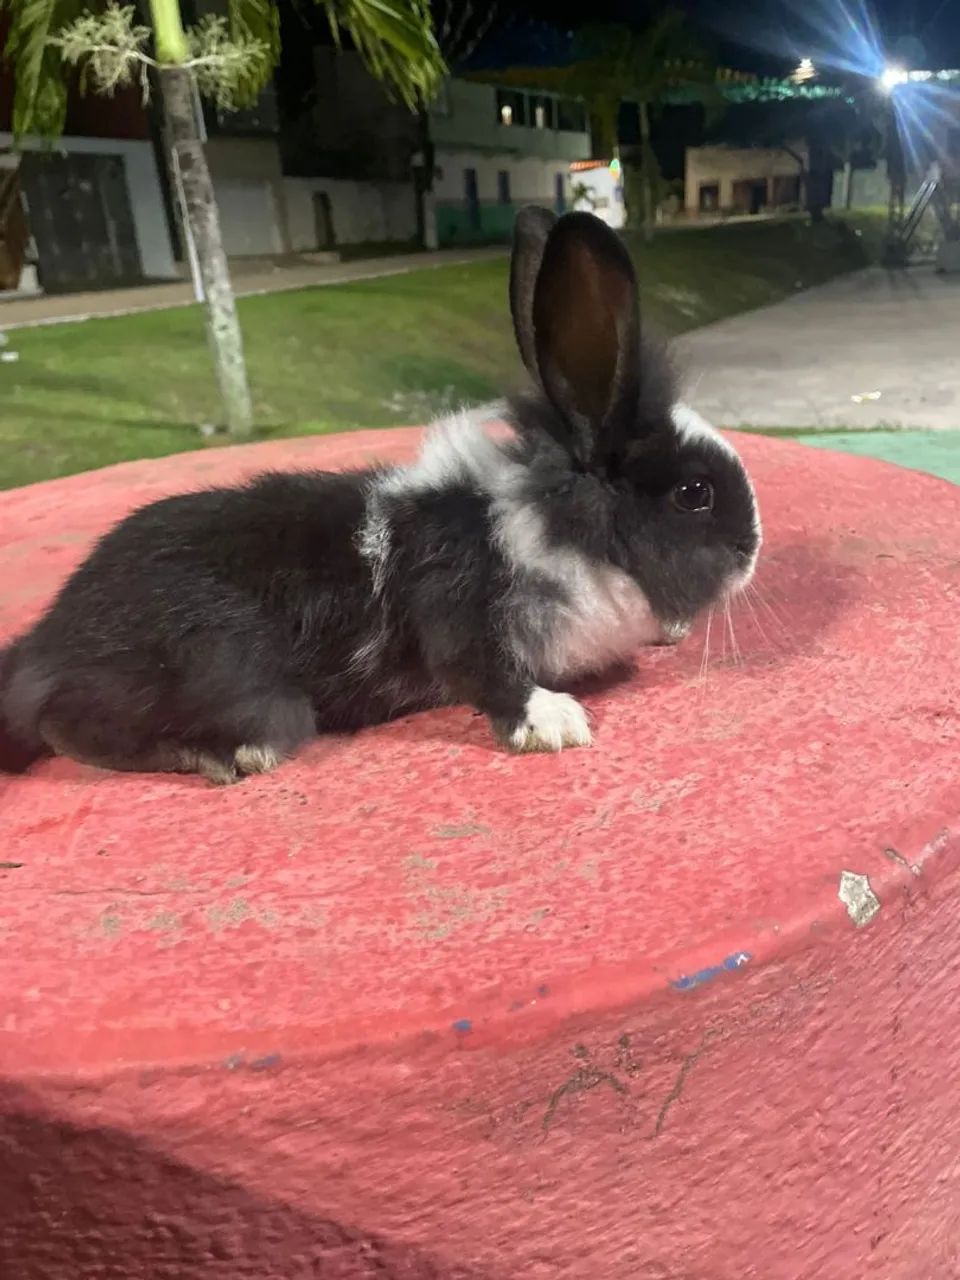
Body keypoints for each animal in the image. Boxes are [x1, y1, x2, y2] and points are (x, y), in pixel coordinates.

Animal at [0, 207, 761, 785]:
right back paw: (225, 756)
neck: (551, 521)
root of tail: (48, 641)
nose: (752, 551)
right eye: (694, 493)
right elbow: (486, 675)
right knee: (68, 724)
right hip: (228, 673)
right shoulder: (459, 610)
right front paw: (556, 722)